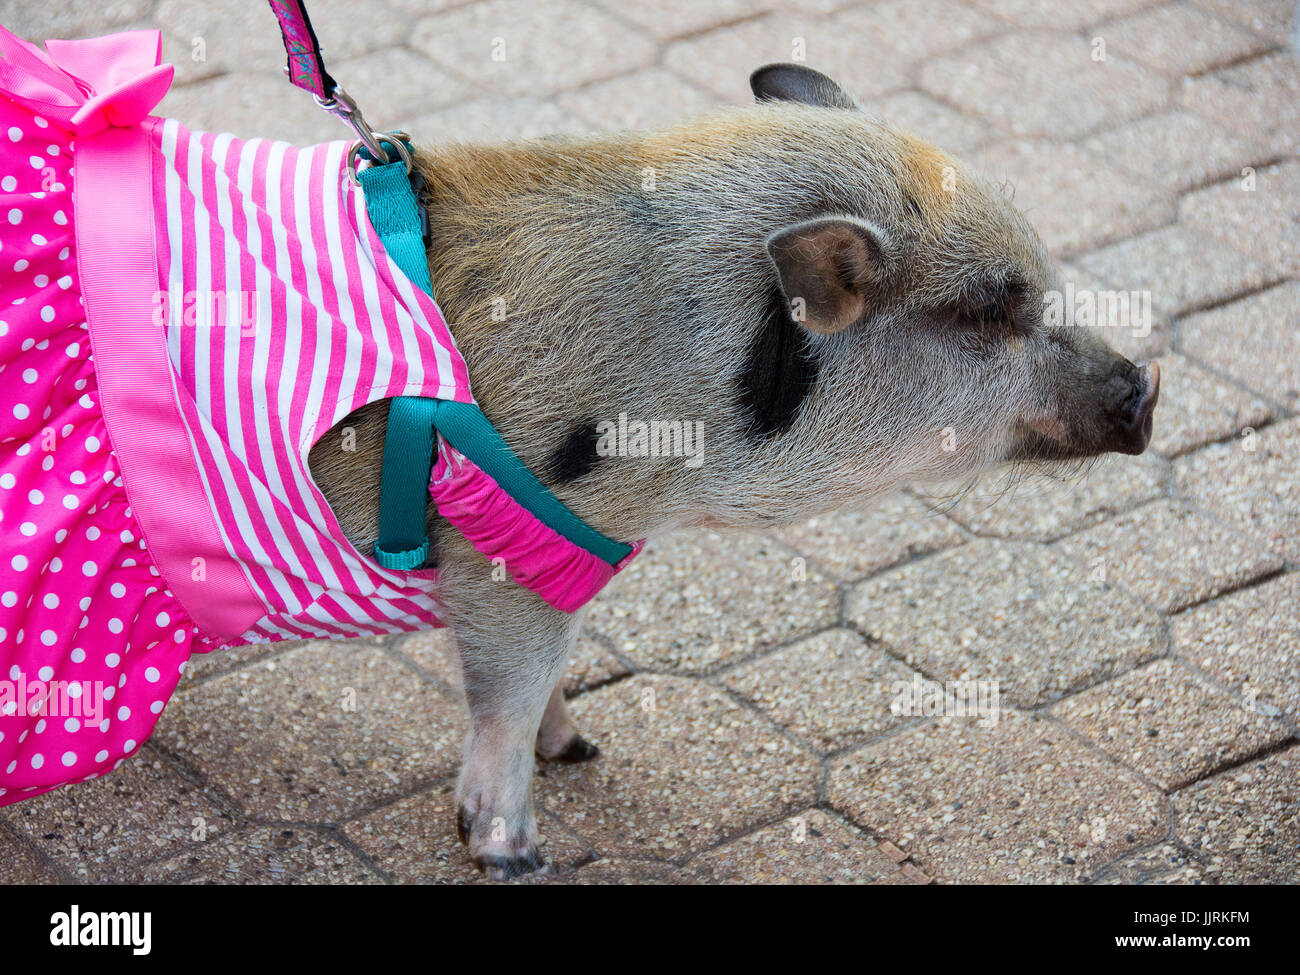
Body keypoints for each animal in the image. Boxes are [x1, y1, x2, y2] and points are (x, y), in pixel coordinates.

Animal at [309, 63, 1160, 878]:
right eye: (984, 310)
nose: (1145, 388)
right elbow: (508, 698)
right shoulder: (504, 550)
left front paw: (582, 748)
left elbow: (555, 668)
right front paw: (516, 858)